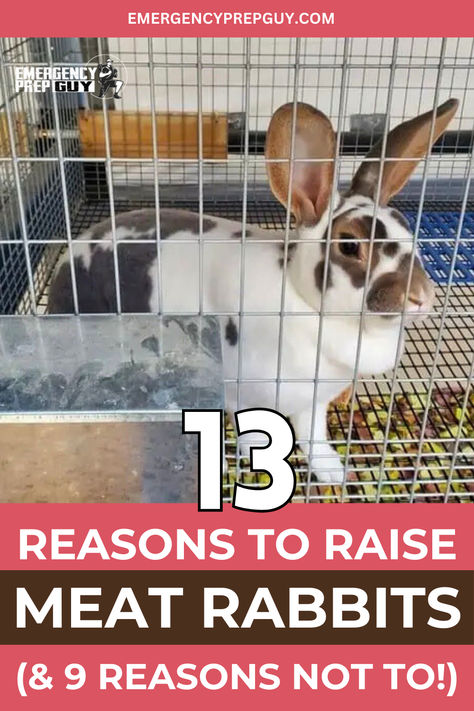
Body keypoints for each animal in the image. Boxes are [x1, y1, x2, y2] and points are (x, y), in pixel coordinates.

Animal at [49, 97, 460, 484]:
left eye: (407, 228)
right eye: (349, 245)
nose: (421, 296)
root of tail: (67, 261)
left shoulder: (314, 399)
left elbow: (314, 435)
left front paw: (334, 473)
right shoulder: (244, 392)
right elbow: (252, 431)